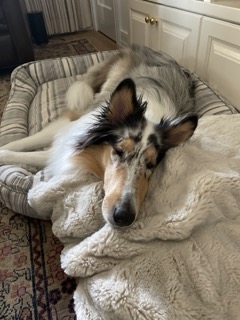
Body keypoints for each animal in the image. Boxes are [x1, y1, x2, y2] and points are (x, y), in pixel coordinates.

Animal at [0, 45, 198, 228]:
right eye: (119, 151)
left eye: (151, 165)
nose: (124, 216)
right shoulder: (70, 125)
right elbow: (27, 143)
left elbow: (34, 155)